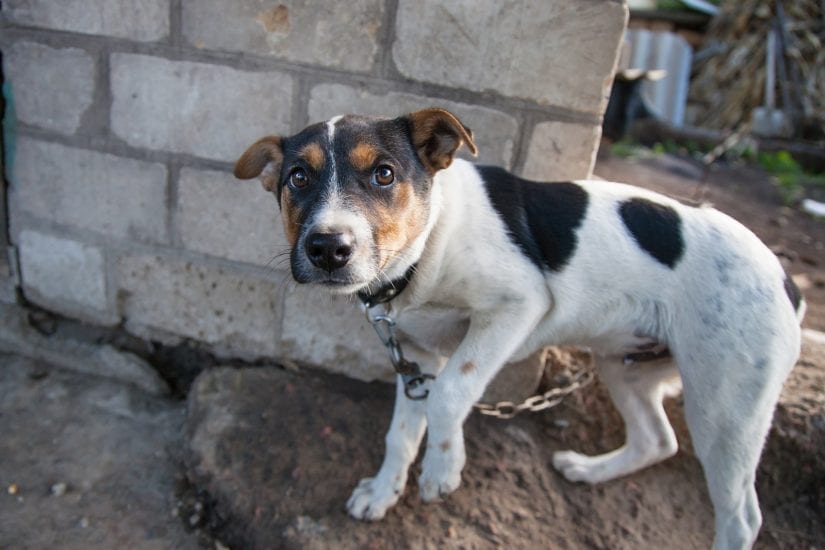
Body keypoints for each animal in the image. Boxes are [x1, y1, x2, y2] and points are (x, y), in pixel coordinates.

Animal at [235, 109, 800, 550]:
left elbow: (448, 396)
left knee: (741, 516)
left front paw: (442, 471)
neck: (429, 243)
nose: (329, 248)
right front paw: (383, 490)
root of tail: (785, 278)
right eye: (298, 178)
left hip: (725, 407)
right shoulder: (415, 356)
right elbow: (402, 432)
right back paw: (589, 470)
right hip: (626, 367)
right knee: (657, 441)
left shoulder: (517, 306)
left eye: (384, 174)